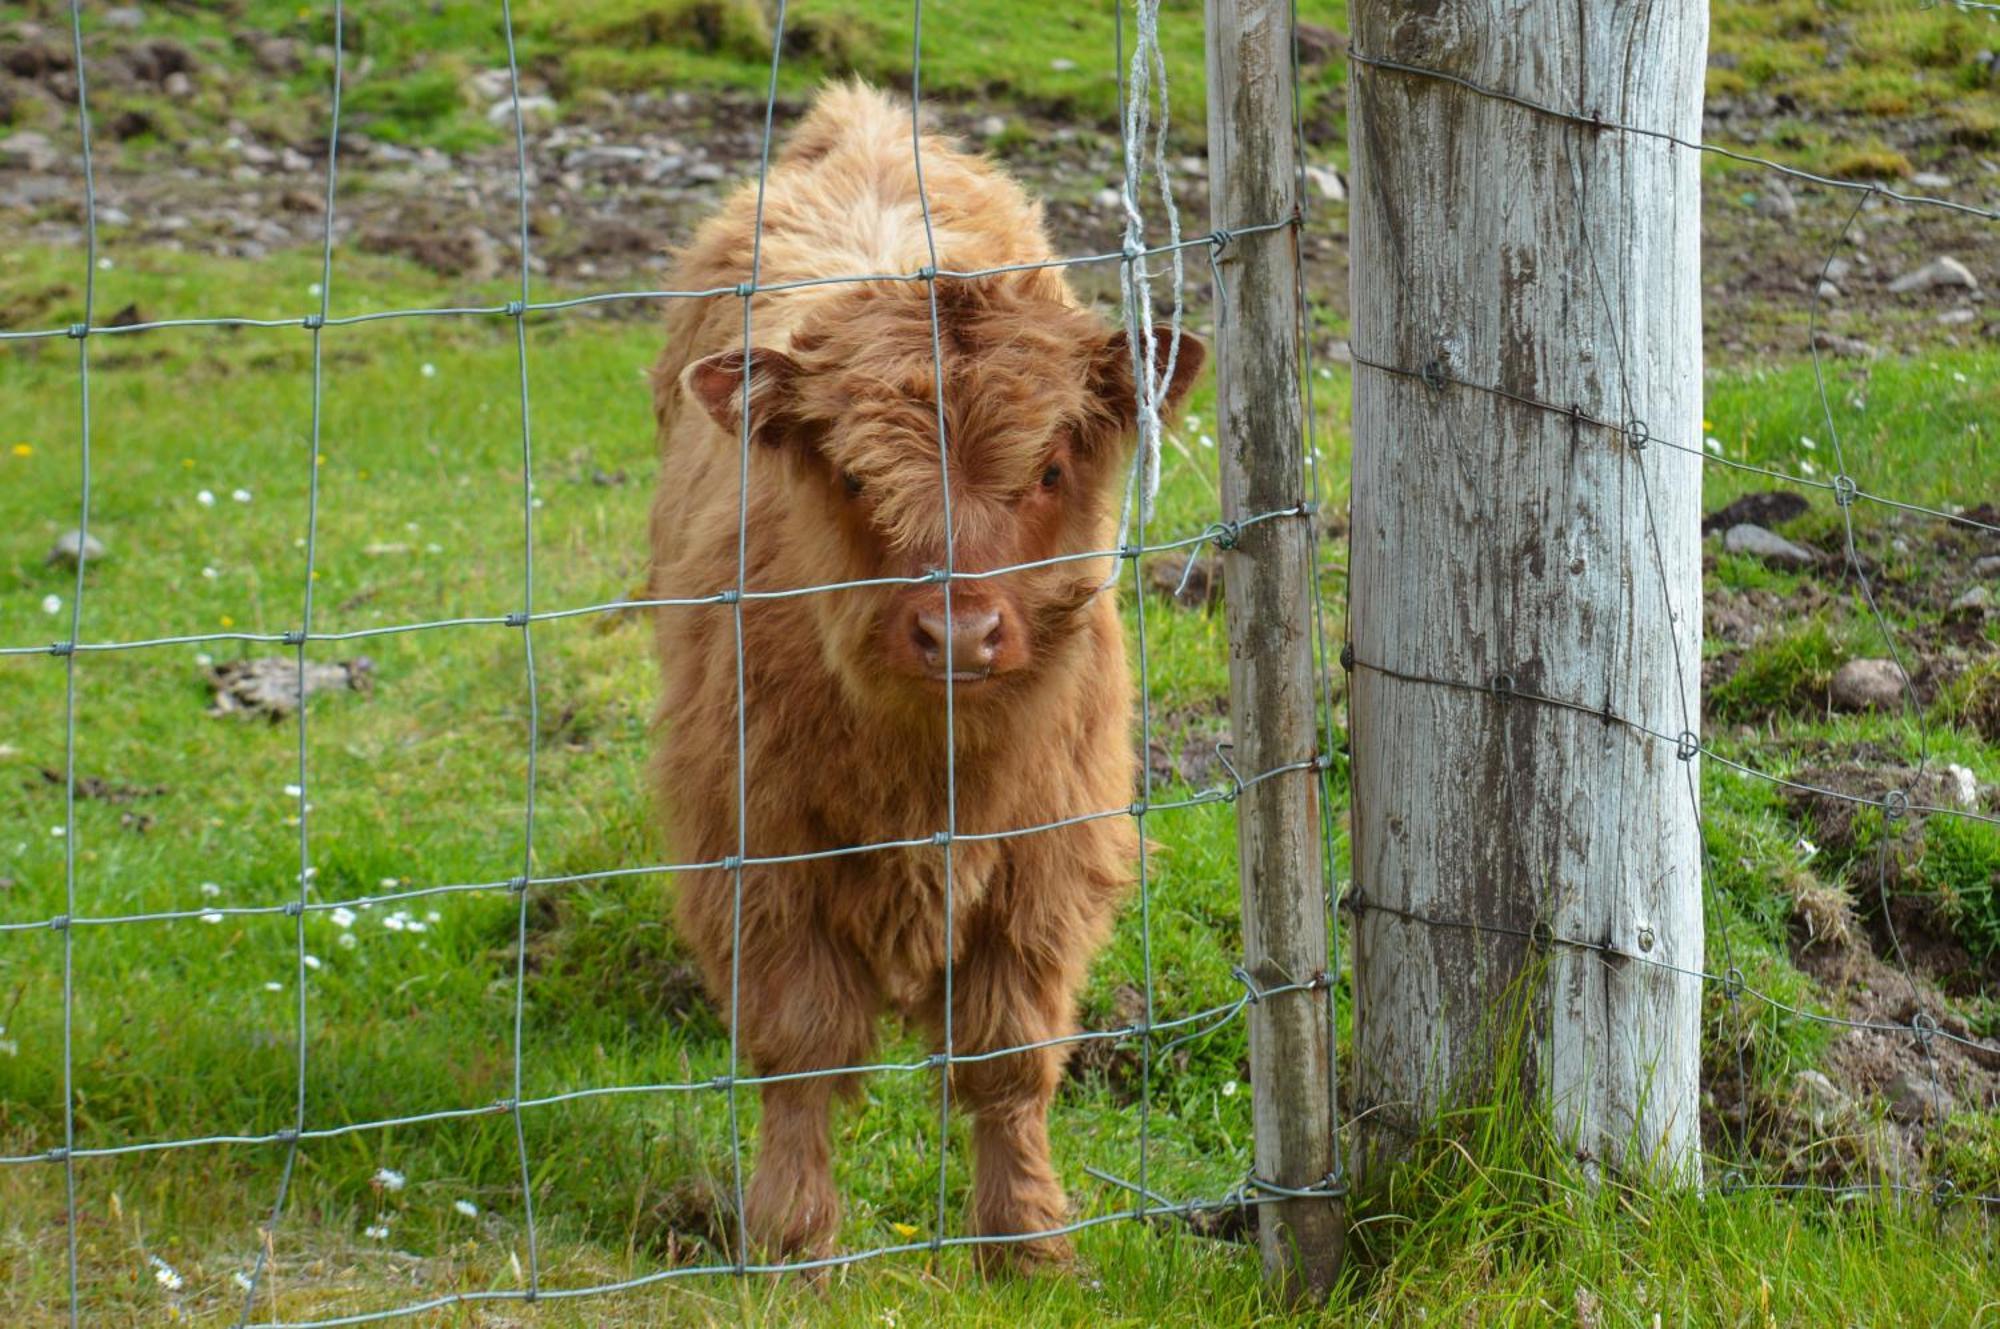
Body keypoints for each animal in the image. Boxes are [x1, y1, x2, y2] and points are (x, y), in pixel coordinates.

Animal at [652, 83, 1200, 1264]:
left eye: (1049, 468)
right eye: (857, 479)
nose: (959, 633)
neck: (930, 775)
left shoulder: (1049, 861)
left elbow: (1010, 1057)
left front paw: (1028, 1244)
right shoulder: (760, 852)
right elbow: (802, 1048)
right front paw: (793, 1241)